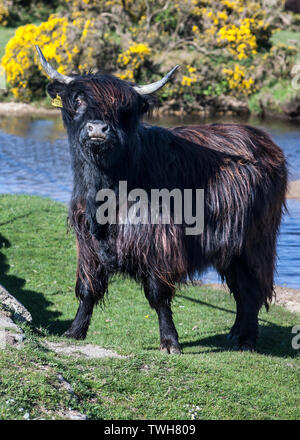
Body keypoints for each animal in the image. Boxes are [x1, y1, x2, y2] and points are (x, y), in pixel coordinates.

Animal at [36, 46, 288, 352]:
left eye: (124, 109)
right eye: (78, 99)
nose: (97, 129)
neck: (105, 187)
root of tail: (263, 139)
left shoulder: (160, 242)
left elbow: (158, 294)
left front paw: (170, 342)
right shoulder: (87, 242)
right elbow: (88, 288)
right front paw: (74, 331)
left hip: (254, 242)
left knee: (252, 289)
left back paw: (247, 341)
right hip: (231, 248)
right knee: (240, 288)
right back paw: (235, 333)